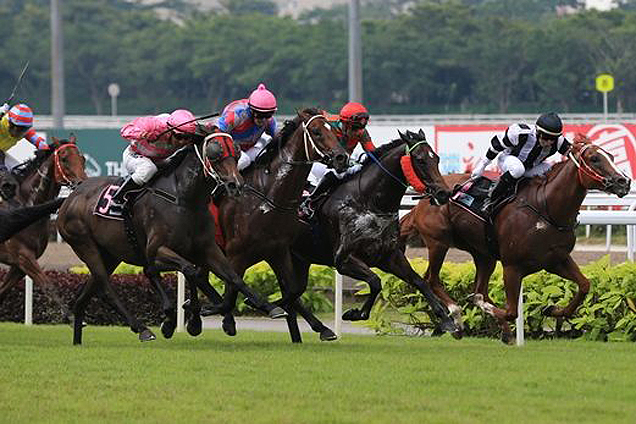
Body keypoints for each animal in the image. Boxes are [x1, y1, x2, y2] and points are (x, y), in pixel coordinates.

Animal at [0, 136, 87, 314]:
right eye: (64, 159)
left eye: (83, 159)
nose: (82, 183)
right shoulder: (24, 256)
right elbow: (48, 286)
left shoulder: (18, 265)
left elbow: (2, 292)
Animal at [57, 128, 286, 344]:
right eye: (215, 154)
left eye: (236, 153)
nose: (235, 185)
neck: (185, 199)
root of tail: (72, 195)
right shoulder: (158, 249)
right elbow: (190, 271)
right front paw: (189, 320)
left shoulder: (207, 248)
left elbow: (232, 276)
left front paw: (268, 307)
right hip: (85, 245)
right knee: (105, 286)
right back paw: (143, 329)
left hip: (111, 254)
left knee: (88, 294)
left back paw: (78, 339)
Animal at [198, 107, 350, 340]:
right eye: (316, 132)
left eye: (333, 130)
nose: (342, 157)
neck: (268, 199)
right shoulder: (236, 254)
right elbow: (232, 291)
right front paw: (224, 315)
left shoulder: (278, 250)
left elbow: (293, 290)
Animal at [400, 137, 632, 344]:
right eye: (594, 158)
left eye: (611, 156)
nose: (624, 181)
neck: (546, 209)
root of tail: (425, 199)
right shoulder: (513, 266)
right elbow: (512, 311)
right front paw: (481, 307)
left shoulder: (556, 260)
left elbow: (584, 285)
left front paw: (553, 309)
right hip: (438, 242)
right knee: (432, 279)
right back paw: (457, 319)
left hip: (484, 255)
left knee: (480, 288)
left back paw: (502, 331)